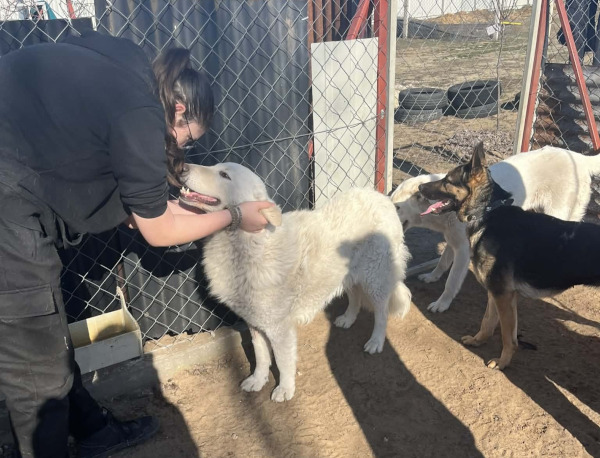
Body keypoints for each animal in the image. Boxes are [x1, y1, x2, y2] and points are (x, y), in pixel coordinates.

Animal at [179, 162, 412, 401]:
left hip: (375, 278)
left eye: (224, 175)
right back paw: (348, 319)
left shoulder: (279, 328)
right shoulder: (256, 324)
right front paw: (257, 380)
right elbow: (261, 357)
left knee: (382, 312)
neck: (250, 244)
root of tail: (383, 199)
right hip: (349, 274)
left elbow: (282, 362)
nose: (183, 167)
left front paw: (285, 389)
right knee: (355, 296)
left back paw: (376, 341)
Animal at [391, 145, 600, 313]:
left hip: (559, 215)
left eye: (396, 207)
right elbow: (442, 262)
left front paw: (442, 304)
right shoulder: (453, 241)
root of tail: (579, 157)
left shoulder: (463, 251)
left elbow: (451, 281)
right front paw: (432, 277)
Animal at [418, 142, 600, 370]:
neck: (488, 211)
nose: (419, 188)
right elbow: (487, 321)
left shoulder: (503, 294)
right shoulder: (496, 292)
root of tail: (579, 158)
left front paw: (502, 363)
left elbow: (507, 335)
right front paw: (478, 341)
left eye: (448, 181)